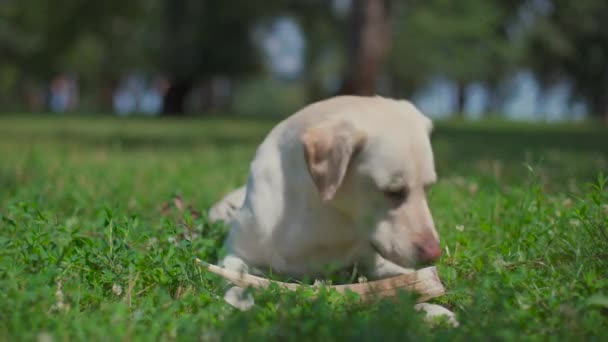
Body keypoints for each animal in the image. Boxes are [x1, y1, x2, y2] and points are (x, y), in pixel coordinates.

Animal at [209, 95, 456, 324]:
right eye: (393, 192)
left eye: (428, 188)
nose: (434, 254)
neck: (324, 218)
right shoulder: (235, 252)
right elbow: (235, 274)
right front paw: (239, 300)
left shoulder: (373, 260)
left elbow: (406, 280)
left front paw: (434, 309)